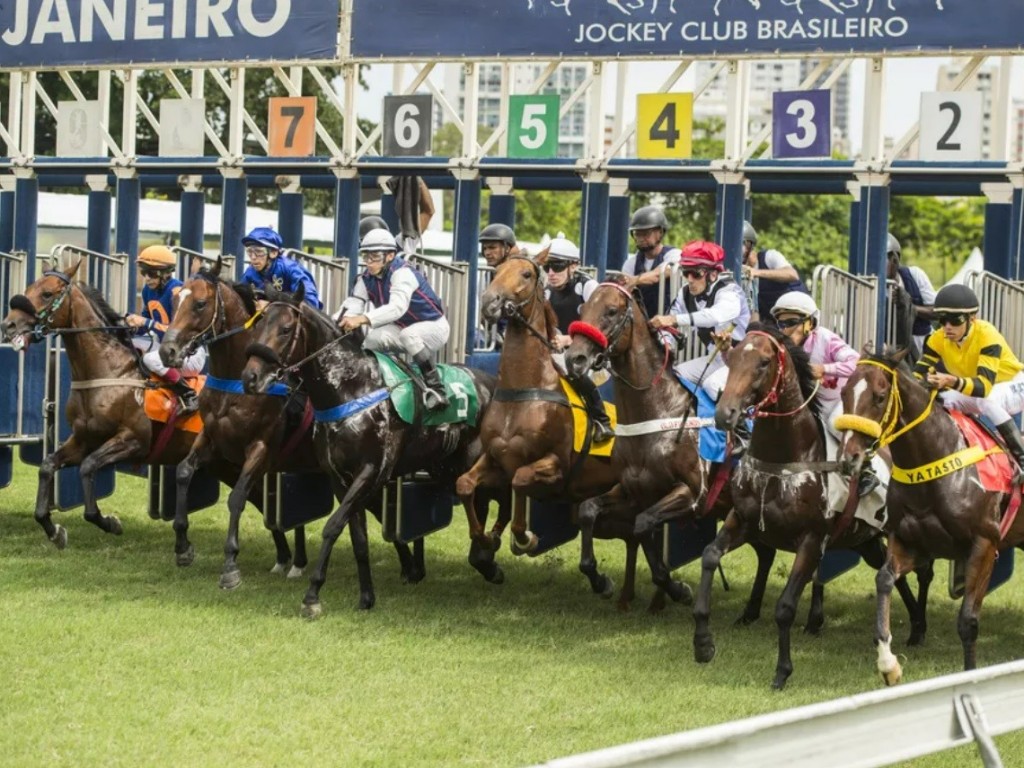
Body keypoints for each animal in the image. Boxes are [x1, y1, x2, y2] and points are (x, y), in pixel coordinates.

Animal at [0, 264, 211, 548]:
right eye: (29, 288)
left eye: (46, 293)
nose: (8, 324)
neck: (106, 369)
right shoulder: (84, 438)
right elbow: (47, 466)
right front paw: (54, 529)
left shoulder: (133, 440)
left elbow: (88, 467)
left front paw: (108, 521)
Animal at [244, 286, 507, 618]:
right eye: (258, 323)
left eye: (286, 329)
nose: (250, 378)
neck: (351, 389)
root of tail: (494, 384)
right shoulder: (339, 478)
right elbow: (358, 538)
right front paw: (366, 597)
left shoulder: (371, 471)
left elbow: (332, 527)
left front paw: (312, 596)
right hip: (446, 467)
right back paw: (486, 555)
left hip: (474, 462)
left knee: (492, 499)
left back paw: (488, 557)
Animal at [565, 282, 770, 614]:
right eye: (583, 310)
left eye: (611, 311)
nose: (575, 358)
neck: (657, 410)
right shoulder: (633, 491)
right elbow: (589, 511)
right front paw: (600, 580)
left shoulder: (691, 493)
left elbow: (643, 526)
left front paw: (678, 589)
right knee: (766, 553)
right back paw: (750, 612)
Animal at [704, 325, 929, 692]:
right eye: (733, 356)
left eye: (763, 362)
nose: (726, 415)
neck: (785, 457)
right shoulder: (742, 521)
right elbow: (710, 556)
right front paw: (703, 643)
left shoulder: (810, 540)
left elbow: (784, 607)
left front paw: (782, 671)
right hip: (866, 540)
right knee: (890, 570)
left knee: (922, 571)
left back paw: (919, 628)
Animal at [839, 350, 1024, 684]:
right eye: (844, 393)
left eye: (880, 396)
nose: (850, 459)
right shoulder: (910, 540)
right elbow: (885, 579)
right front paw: (888, 664)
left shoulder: (984, 545)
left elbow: (968, 621)